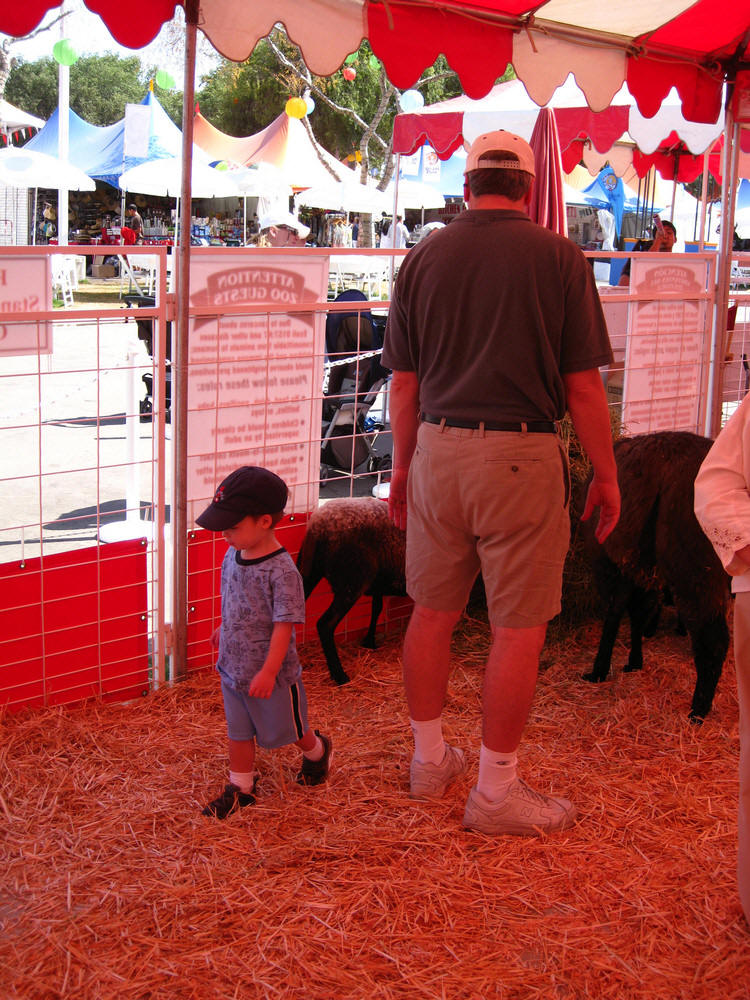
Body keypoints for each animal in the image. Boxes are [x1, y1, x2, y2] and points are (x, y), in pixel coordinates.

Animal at [298, 498, 408, 684]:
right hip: (351, 581)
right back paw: (339, 675)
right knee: (325, 624)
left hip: (309, 572)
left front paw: (369, 642)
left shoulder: (378, 584)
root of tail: (317, 524)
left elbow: (376, 608)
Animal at [584, 430, 732, 720]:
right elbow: (637, 614)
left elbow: (616, 612)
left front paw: (599, 669)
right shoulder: (640, 570)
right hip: (709, 567)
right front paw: (634, 662)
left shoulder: (611, 562)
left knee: (713, 639)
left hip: (693, 566)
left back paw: (698, 711)